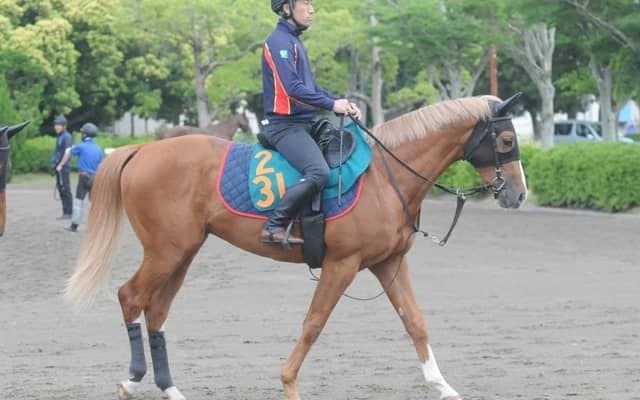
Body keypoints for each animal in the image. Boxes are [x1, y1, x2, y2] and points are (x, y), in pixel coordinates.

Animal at [64, 94, 528, 400]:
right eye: (506, 142)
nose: (519, 195)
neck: (384, 176)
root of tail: (143, 150)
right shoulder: (342, 265)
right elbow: (313, 324)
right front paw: (288, 382)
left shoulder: (389, 263)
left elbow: (415, 321)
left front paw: (441, 385)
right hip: (165, 252)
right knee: (131, 297)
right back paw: (132, 380)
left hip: (182, 253)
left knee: (156, 311)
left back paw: (169, 388)